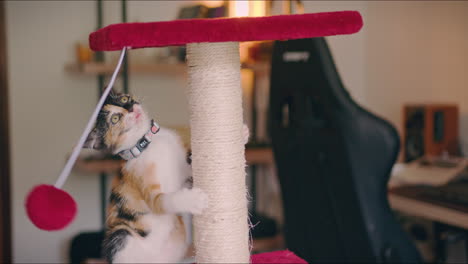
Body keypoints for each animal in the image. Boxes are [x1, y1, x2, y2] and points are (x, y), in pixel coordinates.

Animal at [84, 92, 208, 262]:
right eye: (114, 119)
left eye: (124, 99)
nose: (130, 108)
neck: (148, 142)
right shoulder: (145, 184)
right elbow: (164, 201)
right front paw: (194, 200)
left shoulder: (183, 172)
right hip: (120, 234)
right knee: (121, 236)